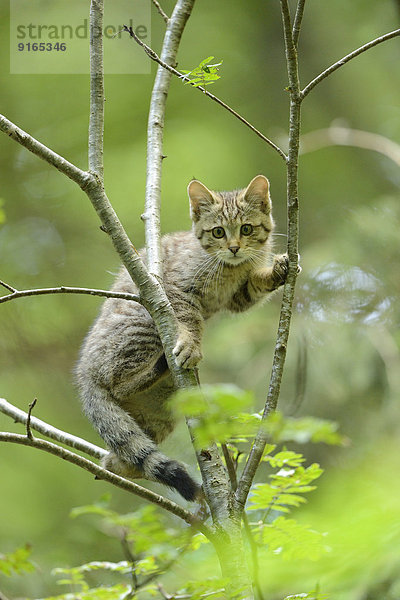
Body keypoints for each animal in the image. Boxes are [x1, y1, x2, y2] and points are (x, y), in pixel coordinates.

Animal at [76, 175, 288, 502]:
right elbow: (190, 320)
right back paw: (161, 364)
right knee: (118, 383)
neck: (231, 269)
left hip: (158, 415)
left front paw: (276, 271)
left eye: (246, 229)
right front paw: (191, 345)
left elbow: (255, 285)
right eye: (218, 232)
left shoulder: (239, 298)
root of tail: (85, 376)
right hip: (142, 326)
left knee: (118, 459)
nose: (234, 248)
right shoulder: (175, 291)